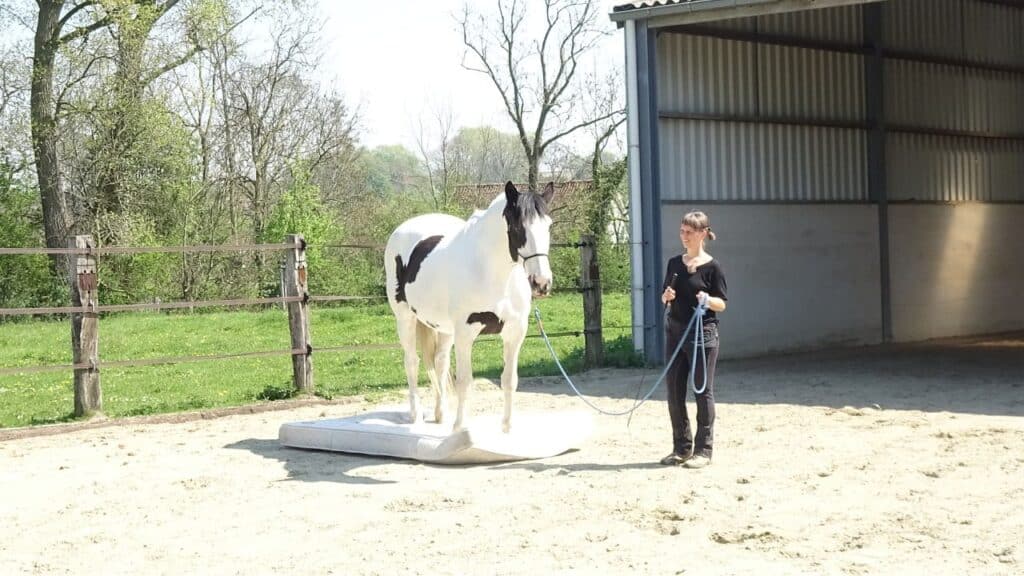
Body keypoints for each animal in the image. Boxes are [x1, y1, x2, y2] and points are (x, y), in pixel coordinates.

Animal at [384, 181, 554, 433]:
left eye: (549, 225)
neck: (491, 271)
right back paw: (416, 416)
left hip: (443, 328)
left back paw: (441, 414)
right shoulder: (465, 332)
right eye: (517, 226)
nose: (541, 283)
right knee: (412, 362)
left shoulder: (515, 332)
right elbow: (465, 381)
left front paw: (507, 428)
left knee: (440, 362)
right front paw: (460, 428)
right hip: (405, 318)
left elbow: (509, 380)